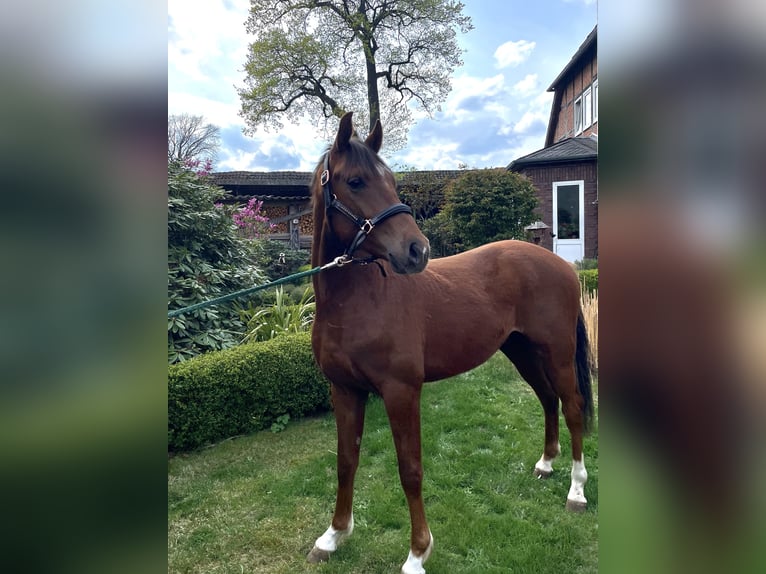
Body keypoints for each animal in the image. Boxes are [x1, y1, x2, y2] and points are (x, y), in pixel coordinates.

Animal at [307, 112, 594, 574]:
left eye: (392, 180)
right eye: (355, 181)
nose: (416, 250)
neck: (358, 301)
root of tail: (559, 264)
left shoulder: (401, 392)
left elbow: (410, 469)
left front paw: (417, 553)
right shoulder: (344, 390)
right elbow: (346, 461)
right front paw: (333, 536)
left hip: (558, 353)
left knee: (572, 407)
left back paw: (577, 491)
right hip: (522, 352)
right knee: (548, 400)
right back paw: (546, 465)